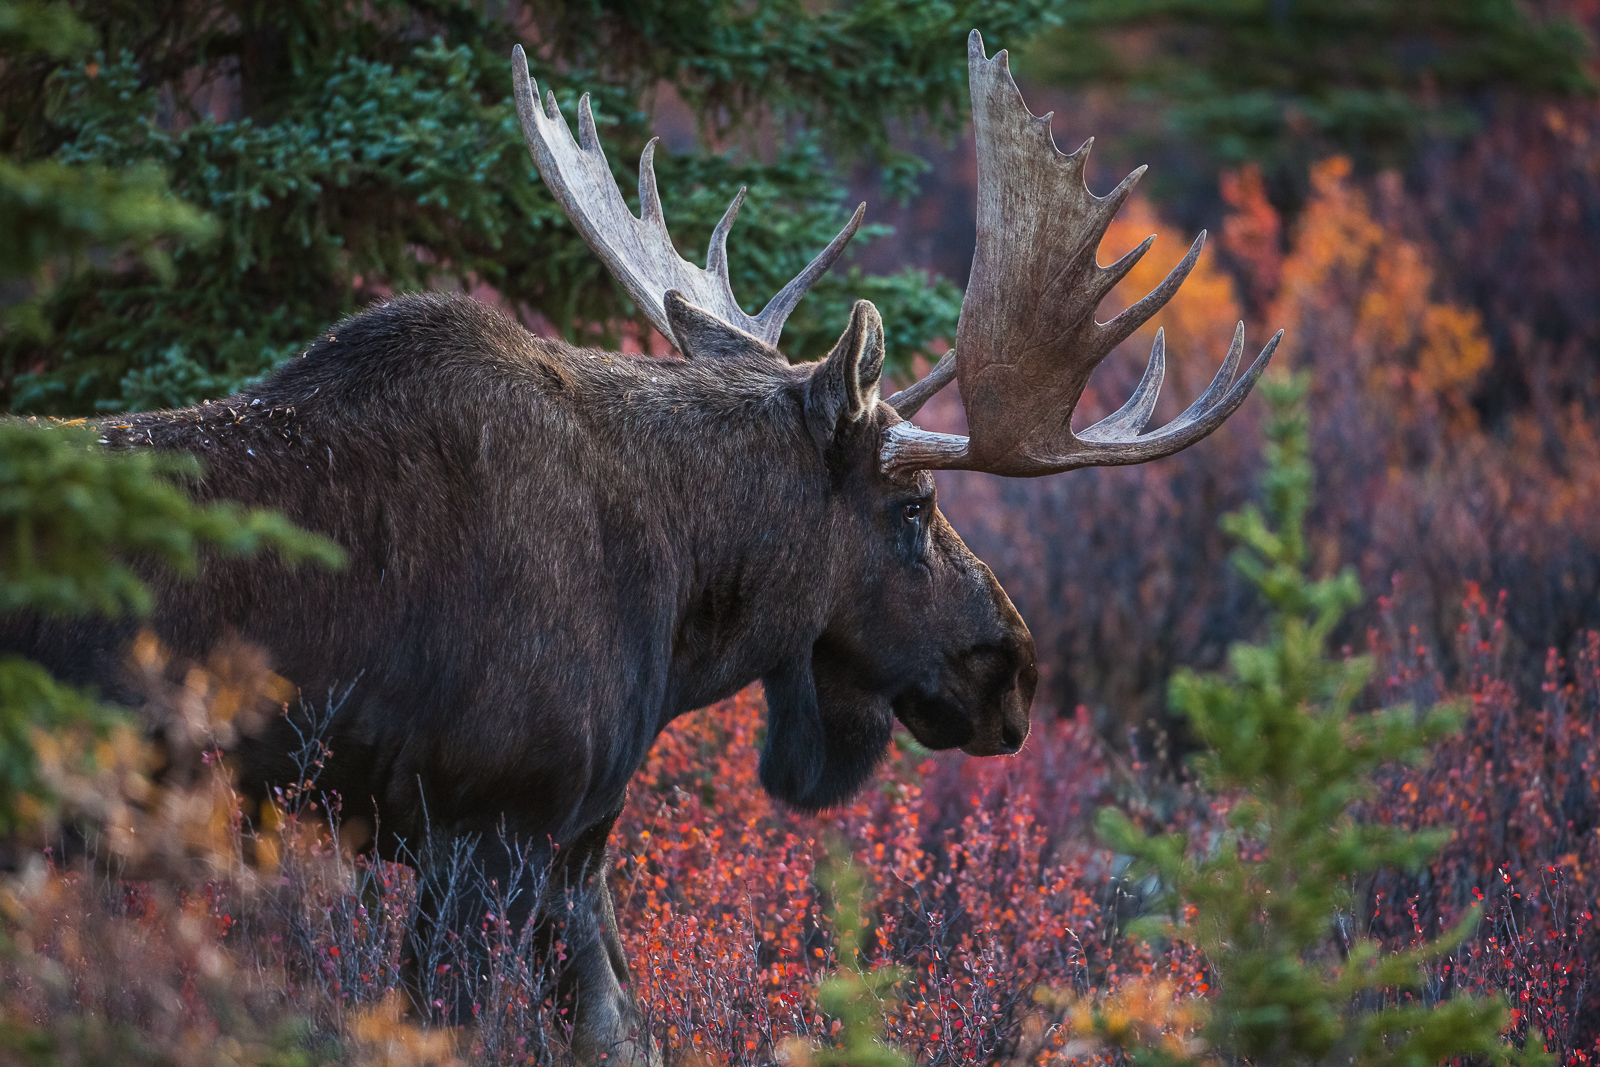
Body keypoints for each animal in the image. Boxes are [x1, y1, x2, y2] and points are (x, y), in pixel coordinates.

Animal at [3, 31, 1273, 1062]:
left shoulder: (573, 848)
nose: (1011, 666)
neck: (675, 600)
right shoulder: (491, 827)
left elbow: (618, 1028)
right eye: (911, 509)